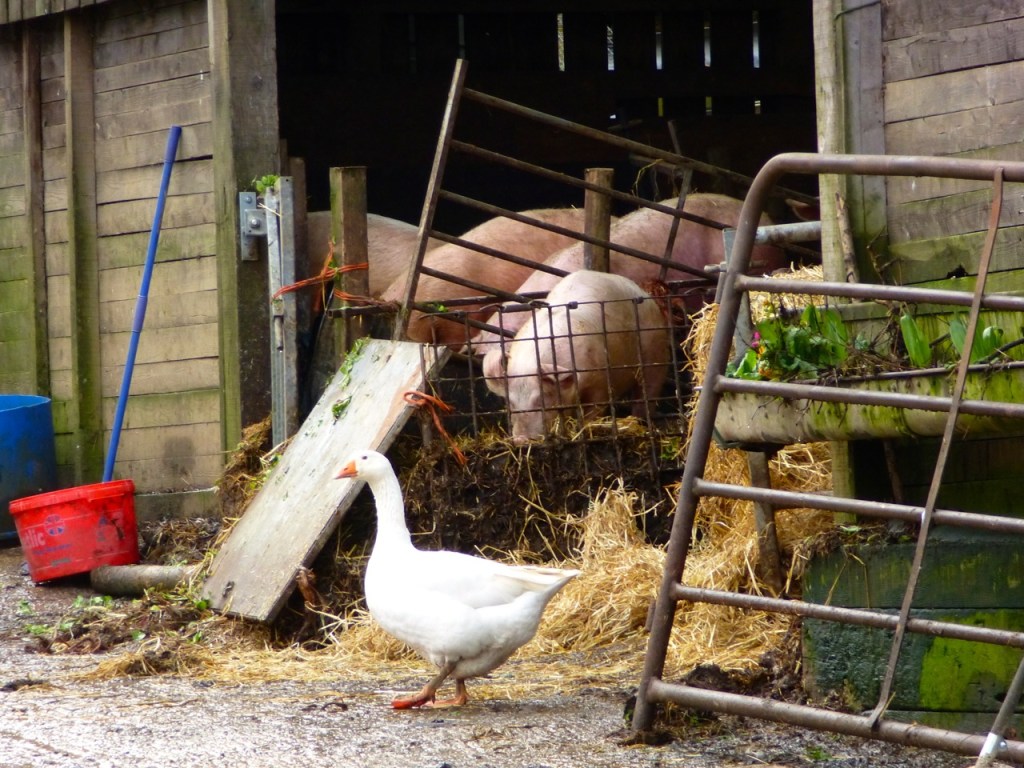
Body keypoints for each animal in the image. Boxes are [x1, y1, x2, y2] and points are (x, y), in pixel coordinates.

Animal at [482, 270, 670, 444]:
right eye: (511, 403)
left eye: (540, 401)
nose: (521, 440)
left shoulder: (600, 381)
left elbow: (593, 409)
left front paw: (584, 428)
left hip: (655, 349)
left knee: (648, 390)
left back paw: (639, 421)